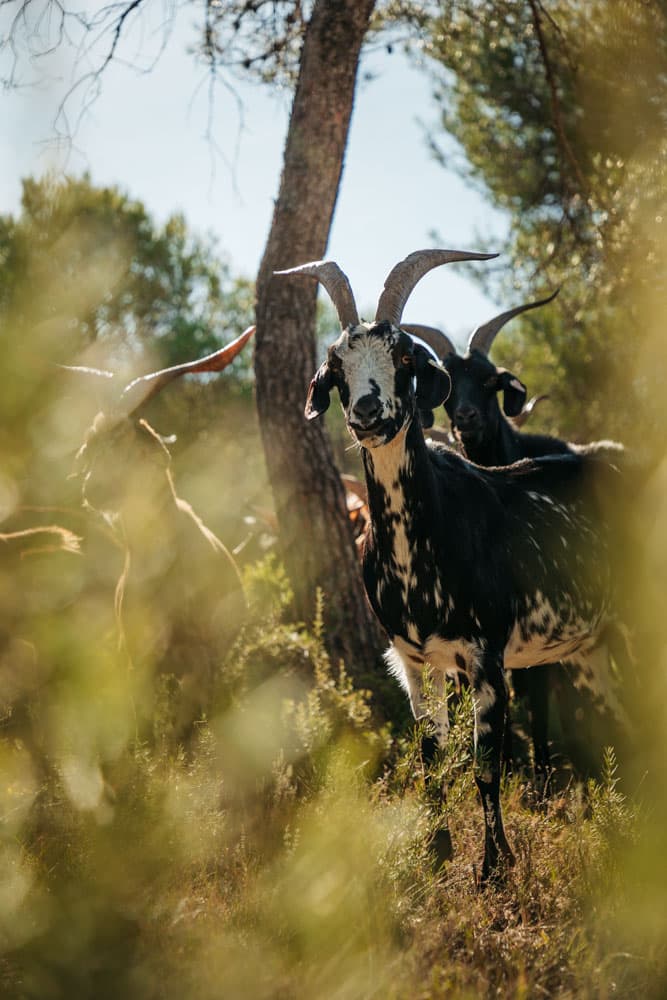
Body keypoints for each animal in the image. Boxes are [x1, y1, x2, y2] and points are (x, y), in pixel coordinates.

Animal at [278, 250, 632, 884]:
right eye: (336, 363)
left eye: (403, 356)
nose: (368, 412)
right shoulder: (415, 661)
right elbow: (431, 759)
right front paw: (436, 853)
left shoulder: (487, 657)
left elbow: (485, 764)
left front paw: (494, 868)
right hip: (592, 646)